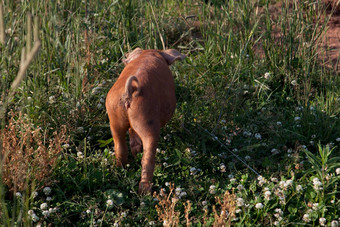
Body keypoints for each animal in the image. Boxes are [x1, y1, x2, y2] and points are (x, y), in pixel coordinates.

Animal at [106, 47, 186, 193]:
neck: (150, 53)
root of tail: (130, 91)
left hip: (114, 117)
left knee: (120, 147)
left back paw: (121, 169)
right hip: (148, 122)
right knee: (147, 159)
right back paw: (146, 192)